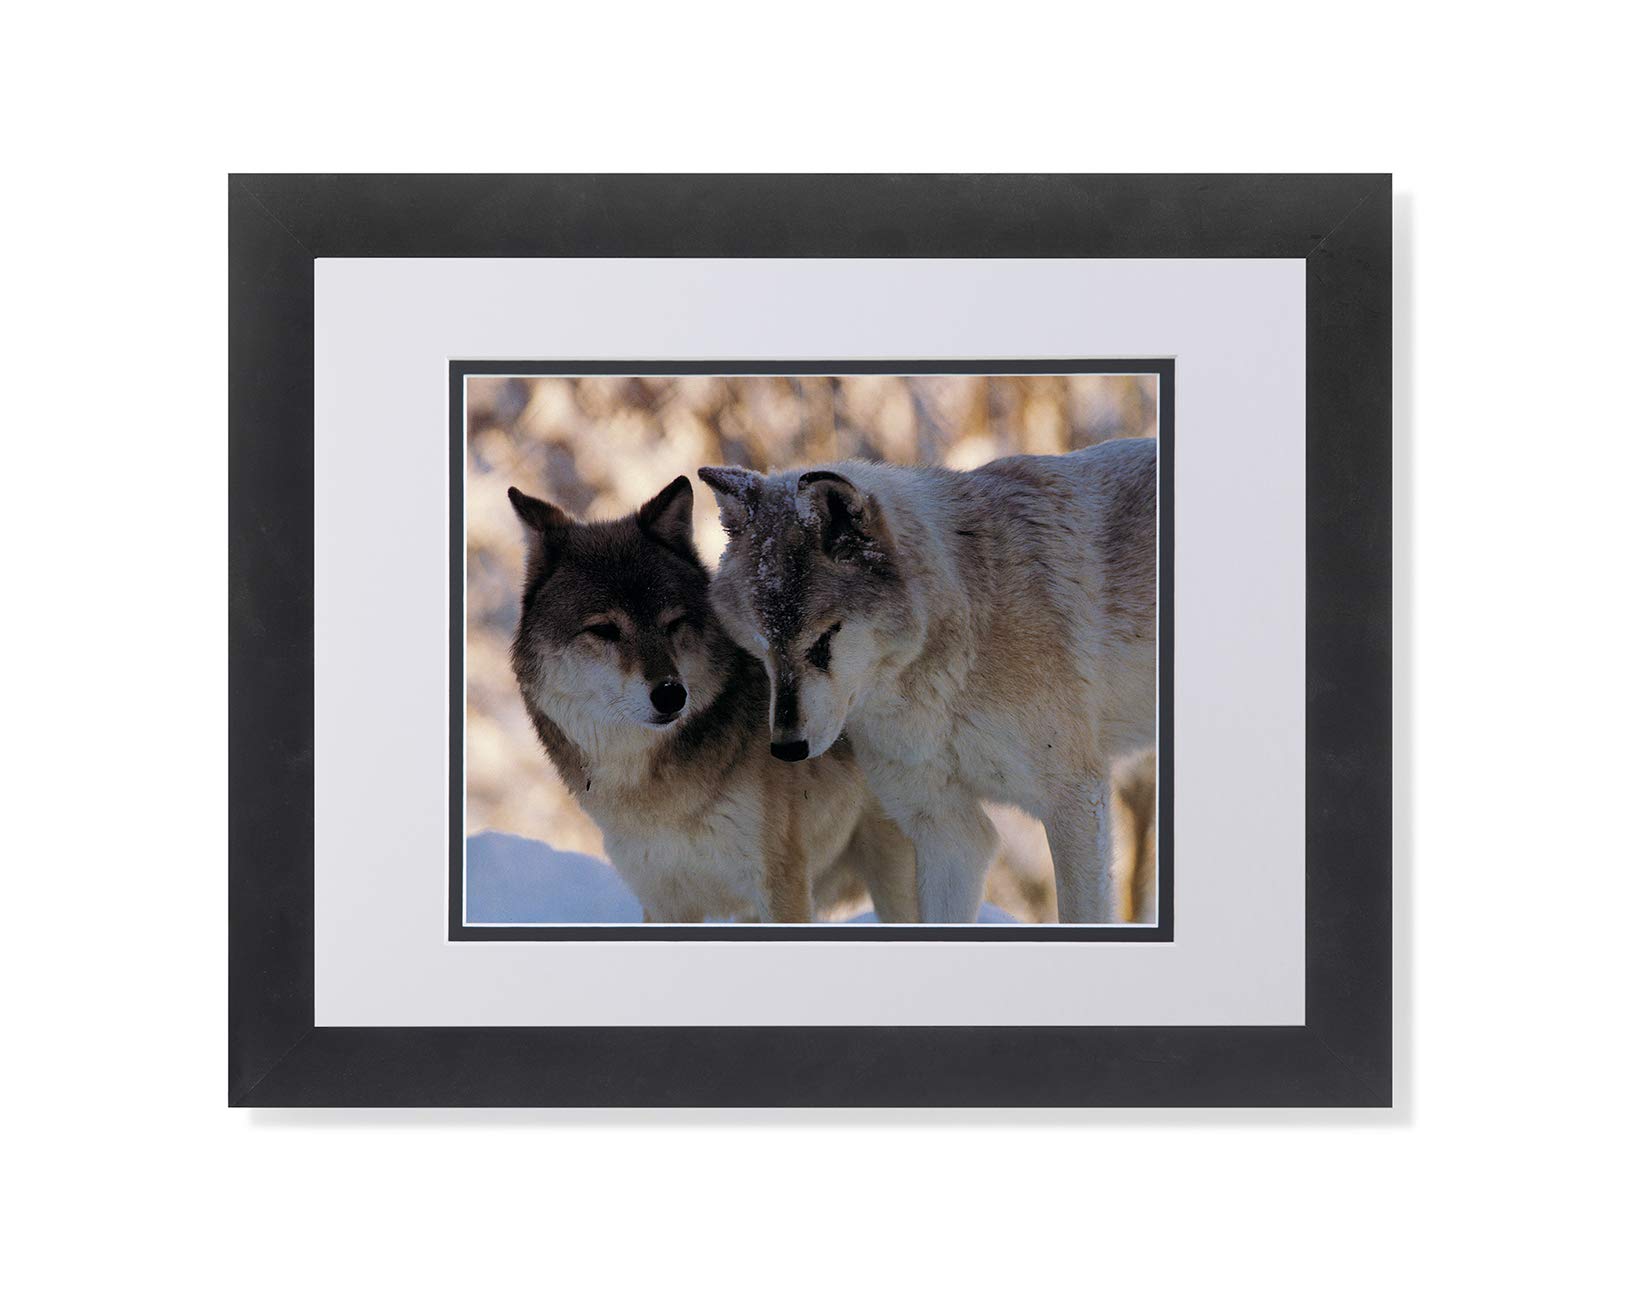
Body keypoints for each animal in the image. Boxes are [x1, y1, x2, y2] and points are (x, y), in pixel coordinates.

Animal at [506, 475, 916, 923]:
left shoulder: (781, 885)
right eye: (604, 630)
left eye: (673, 623)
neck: (656, 792)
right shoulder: (664, 901)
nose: (671, 694)